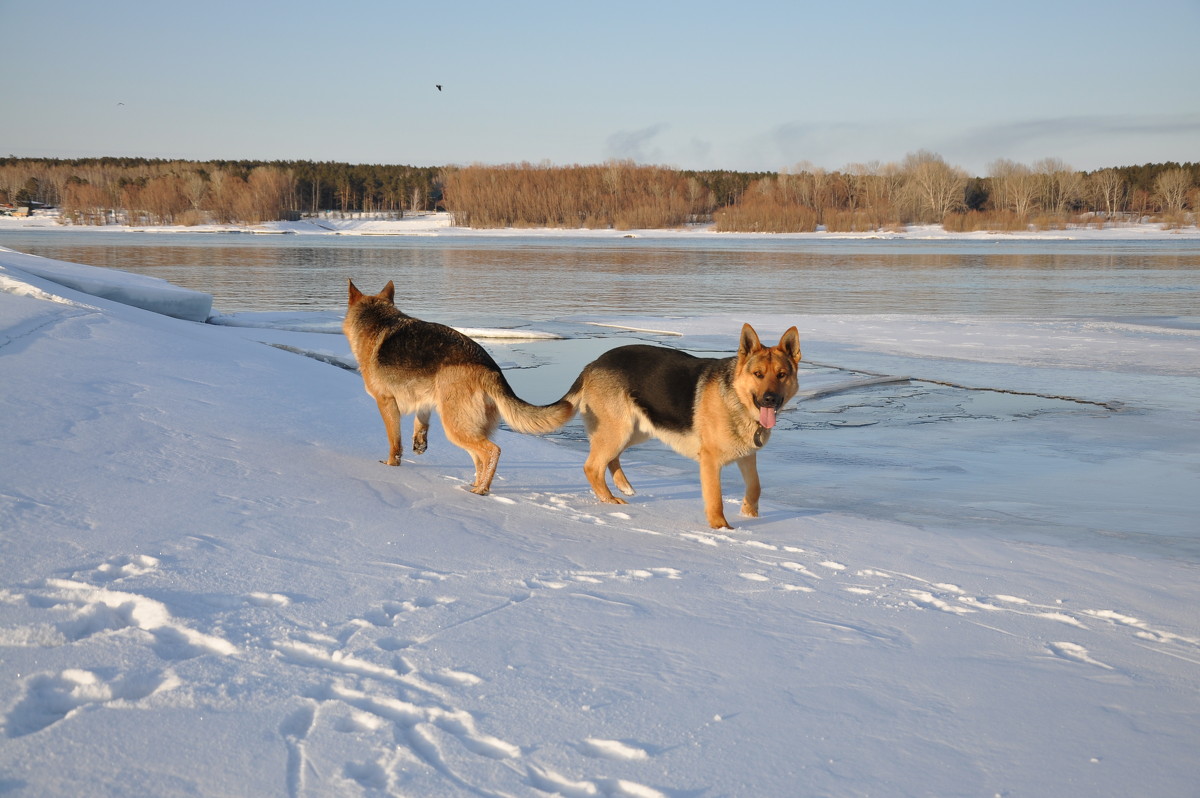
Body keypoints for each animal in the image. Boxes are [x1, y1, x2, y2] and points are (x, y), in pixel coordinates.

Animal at [345, 278, 573, 492]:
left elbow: (394, 441)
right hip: (468, 427)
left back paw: (481, 491)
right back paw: (474, 486)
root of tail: (490, 369)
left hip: (456, 426)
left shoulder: (386, 403)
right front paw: (419, 443)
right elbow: (421, 423)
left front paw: (391, 466)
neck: (377, 319)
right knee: (479, 459)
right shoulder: (423, 399)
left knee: (492, 452)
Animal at [559, 324, 796, 528]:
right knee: (592, 467)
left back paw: (623, 486)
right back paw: (610, 501)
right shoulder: (710, 460)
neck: (737, 398)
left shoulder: (747, 455)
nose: (770, 400)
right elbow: (715, 497)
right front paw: (721, 528)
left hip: (636, 430)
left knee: (610, 459)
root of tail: (593, 363)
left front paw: (749, 514)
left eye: (782, 375)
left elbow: (755, 486)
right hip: (619, 430)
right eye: (758, 374)